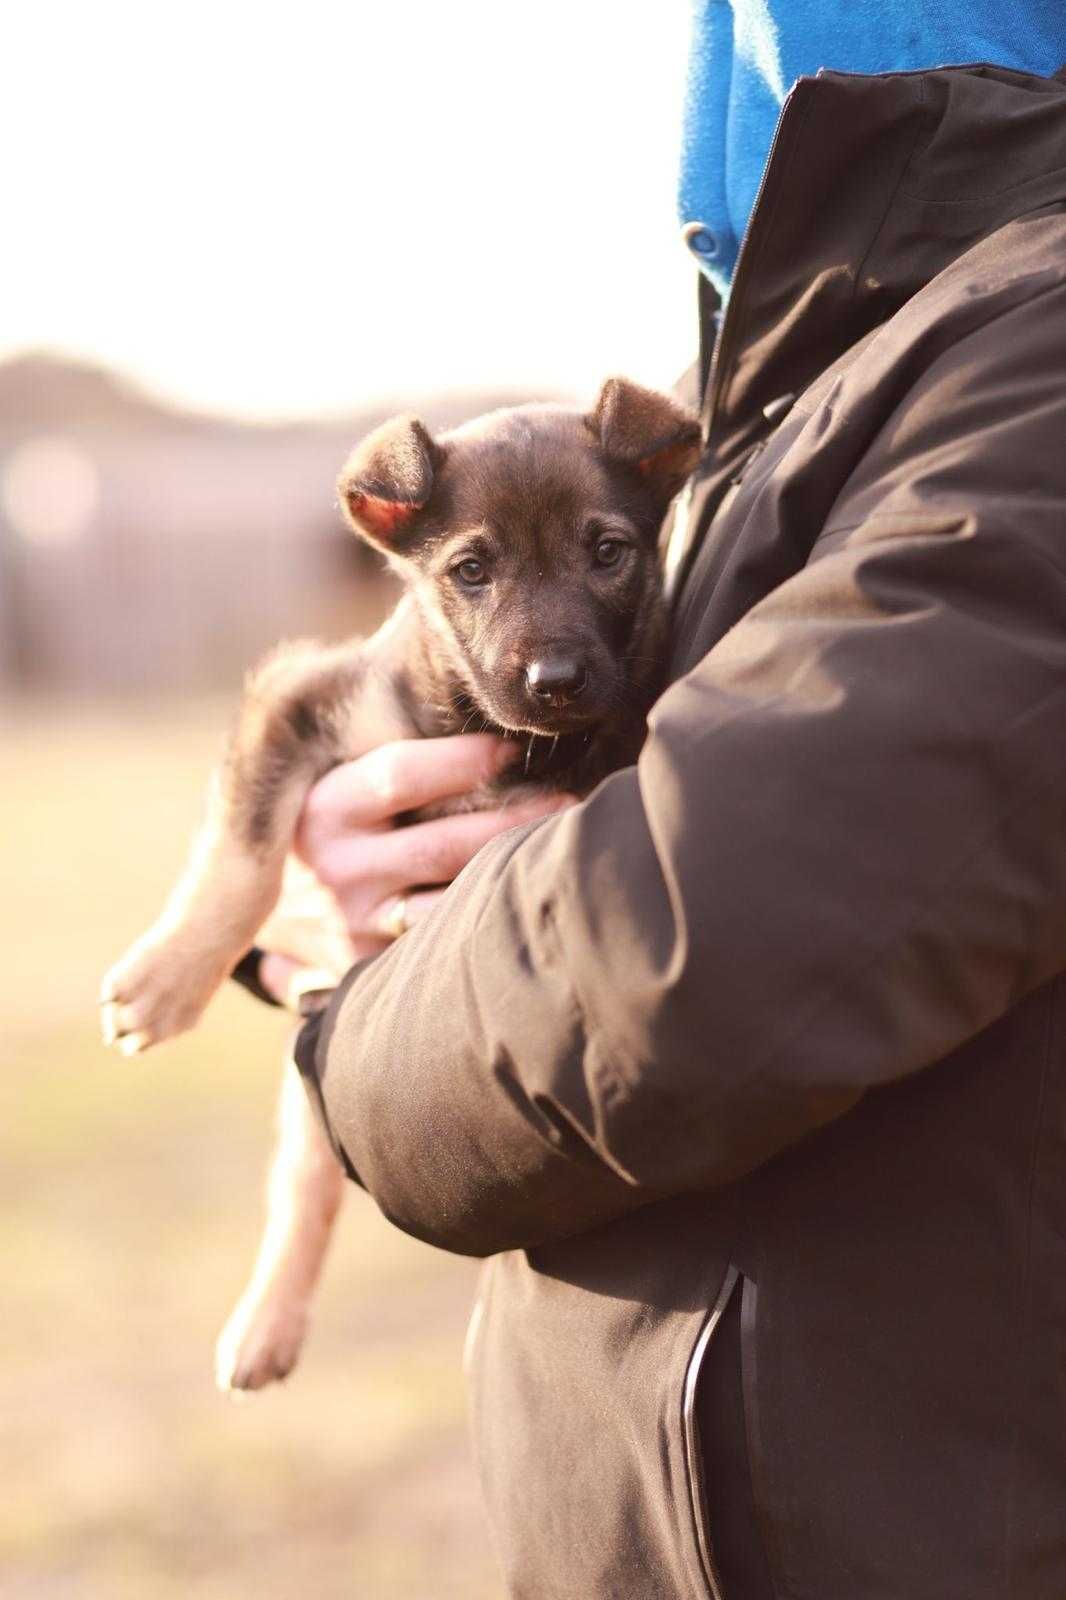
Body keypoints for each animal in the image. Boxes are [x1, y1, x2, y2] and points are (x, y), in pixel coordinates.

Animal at [97, 377, 697, 1388]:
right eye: (471, 570)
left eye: (608, 552)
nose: (556, 680)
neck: (491, 729)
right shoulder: (300, 696)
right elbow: (245, 854)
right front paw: (164, 981)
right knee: (303, 1171)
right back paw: (264, 1321)